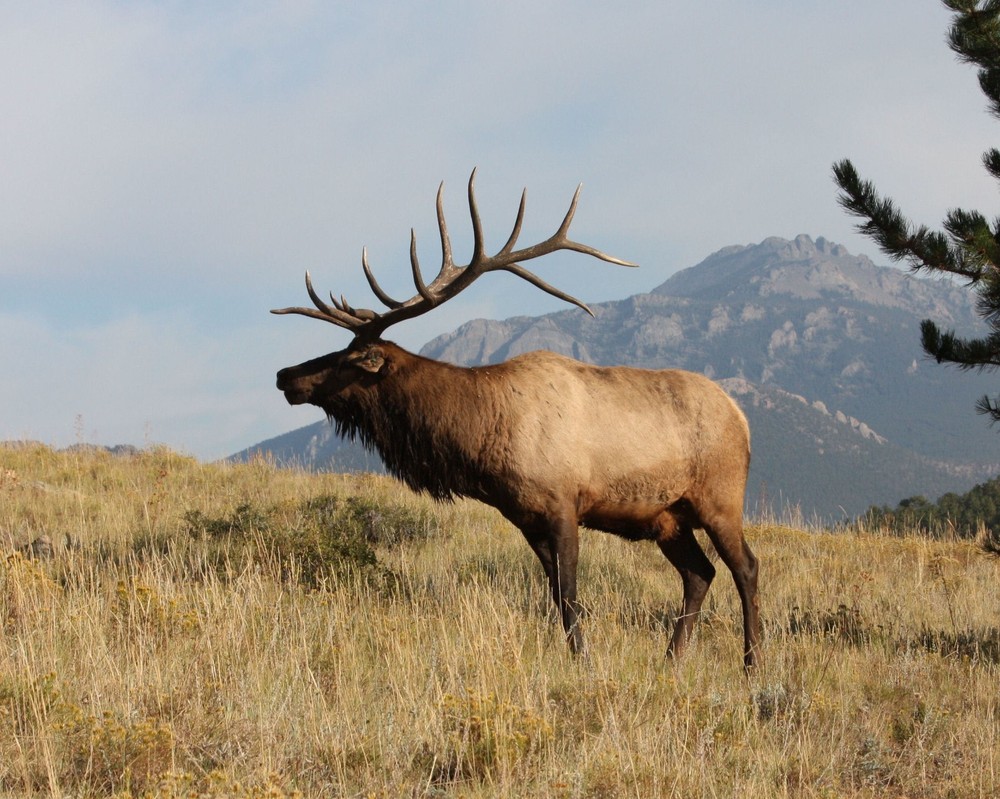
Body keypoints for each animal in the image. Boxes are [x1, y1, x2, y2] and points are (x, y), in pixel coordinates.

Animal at [273, 170, 761, 670]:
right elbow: (555, 594)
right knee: (699, 572)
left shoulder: (564, 503)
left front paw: (584, 661)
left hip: (720, 498)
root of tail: (741, 417)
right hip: (668, 516)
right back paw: (672, 659)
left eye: (350, 358)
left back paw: (751, 661)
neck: (483, 436)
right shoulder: (525, 517)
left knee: (745, 566)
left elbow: (570, 594)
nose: (285, 375)